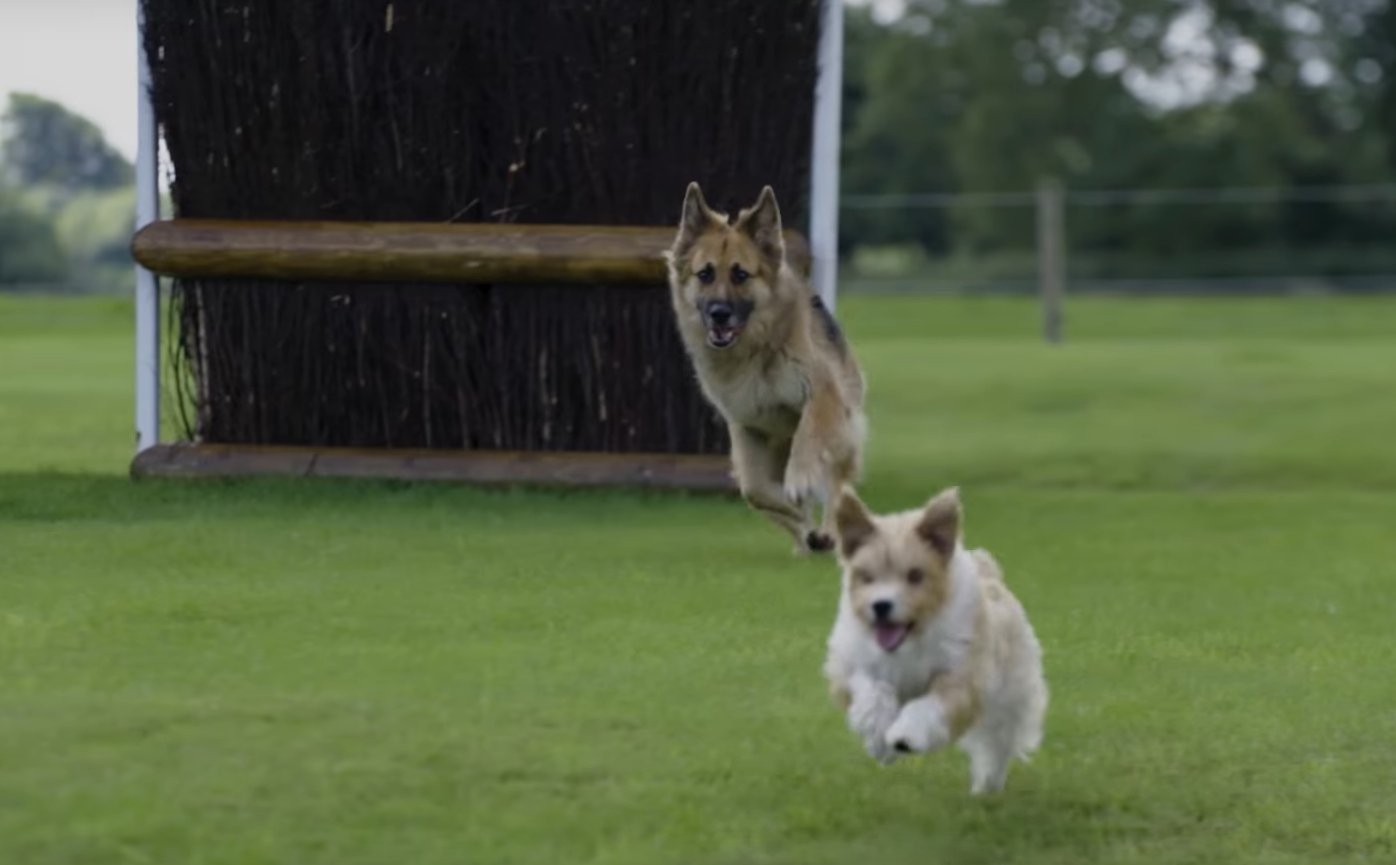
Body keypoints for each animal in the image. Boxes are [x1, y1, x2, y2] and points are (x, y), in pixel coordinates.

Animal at [661, 185, 859, 558]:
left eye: (741, 274)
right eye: (705, 274)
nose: (719, 314)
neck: (756, 350)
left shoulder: (822, 394)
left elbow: (808, 440)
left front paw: (801, 479)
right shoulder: (746, 425)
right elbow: (757, 491)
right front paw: (798, 515)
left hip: (841, 435)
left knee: (838, 489)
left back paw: (827, 532)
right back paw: (807, 539)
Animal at [815, 482, 1049, 792]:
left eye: (915, 575)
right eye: (867, 576)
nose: (881, 605)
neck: (912, 639)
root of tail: (990, 573)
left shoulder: (962, 675)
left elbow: (928, 706)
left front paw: (904, 736)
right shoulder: (854, 664)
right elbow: (873, 693)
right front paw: (880, 740)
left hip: (1010, 694)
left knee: (997, 740)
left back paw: (988, 782)